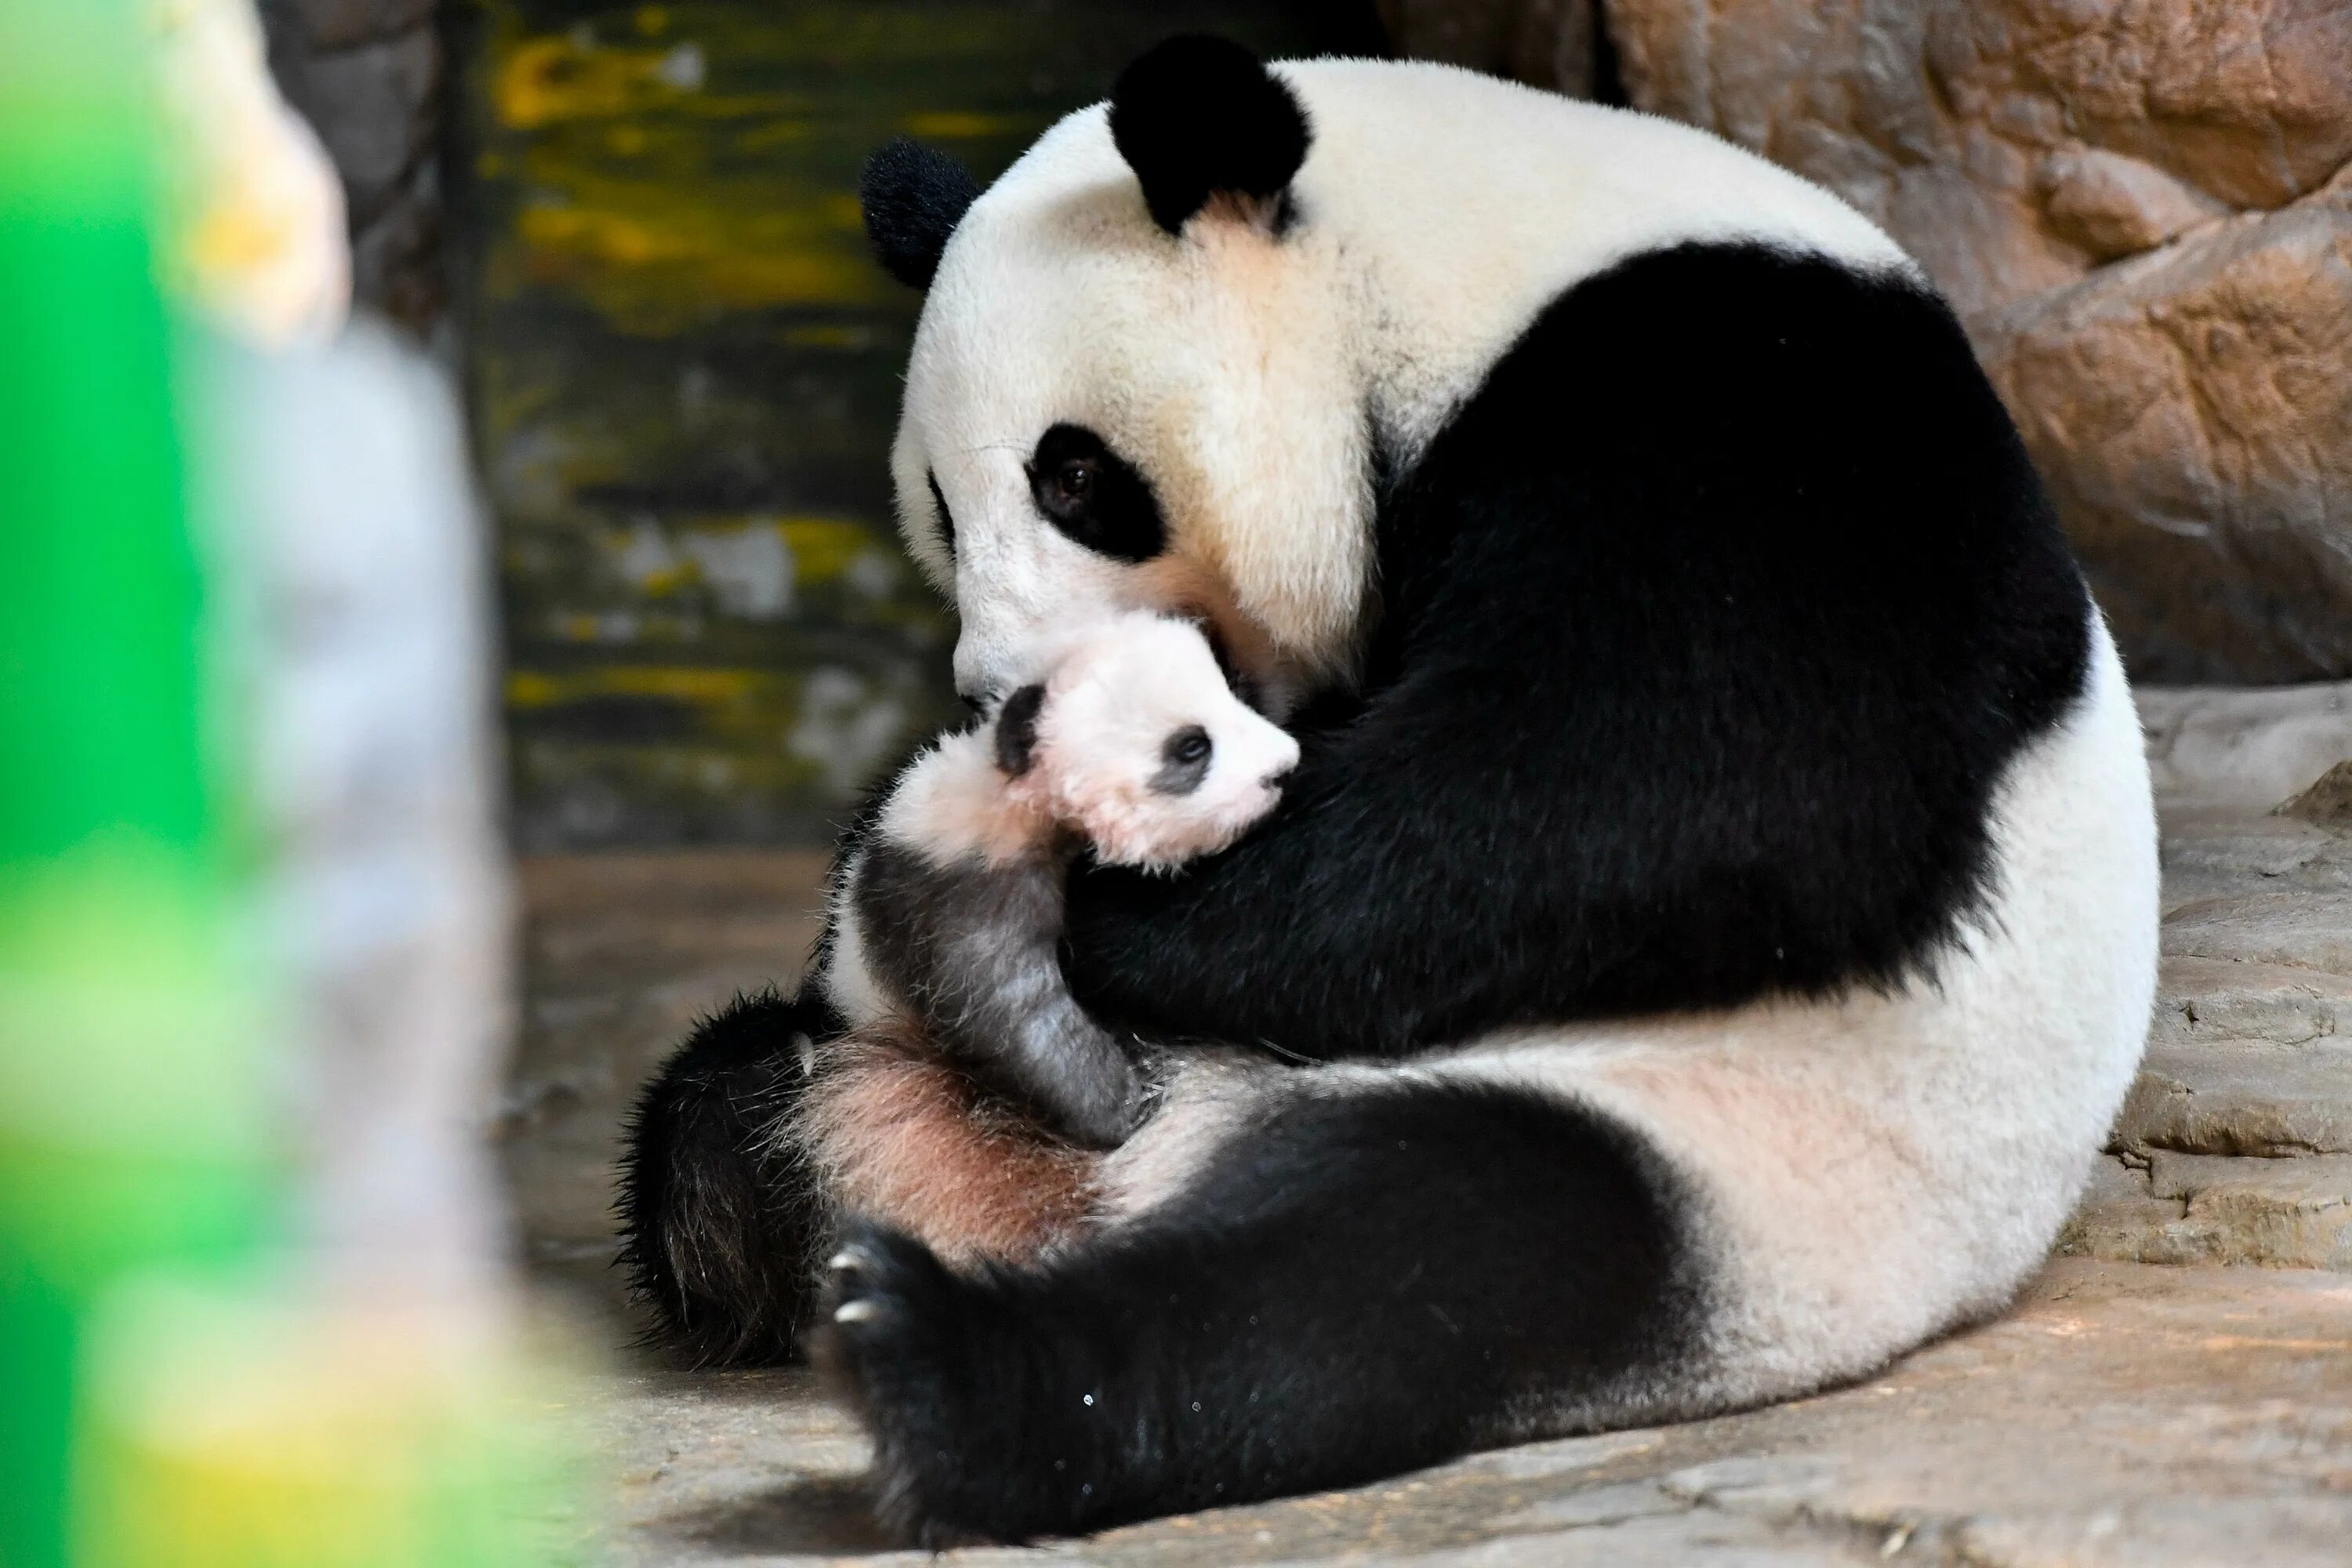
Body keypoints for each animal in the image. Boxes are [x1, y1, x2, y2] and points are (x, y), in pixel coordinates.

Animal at [616, 34, 2154, 1542]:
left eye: (1075, 476)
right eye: (941, 507)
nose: (998, 696)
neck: (1453, 269)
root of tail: (1099, 1184)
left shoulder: (1745, 407)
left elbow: (1689, 786)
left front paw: (1092, 912)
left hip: (1758, 1153)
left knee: (1403, 1263)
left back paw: (942, 1375)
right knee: (721, 1111)